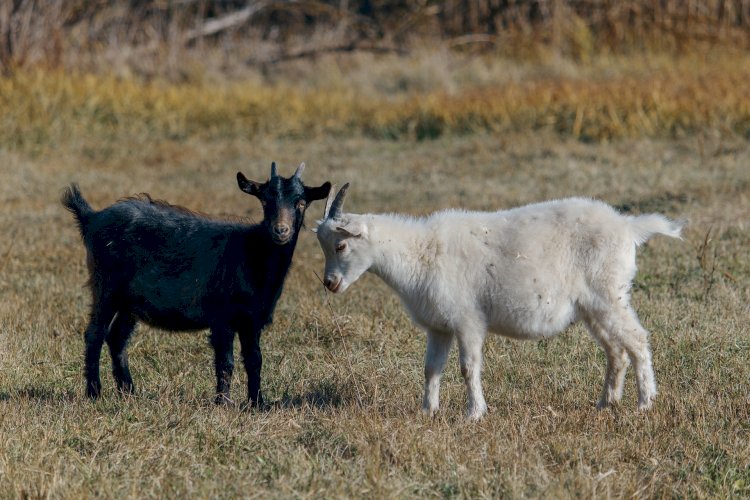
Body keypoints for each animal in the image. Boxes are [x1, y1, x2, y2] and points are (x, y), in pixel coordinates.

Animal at [63, 164, 334, 406]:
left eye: (301, 202)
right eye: (265, 201)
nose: (281, 230)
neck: (252, 251)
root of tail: (92, 218)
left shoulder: (252, 319)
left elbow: (254, 360)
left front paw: (257, 403)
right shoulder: (223, 316)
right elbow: (226, 362)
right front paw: (223, 403)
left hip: (130, 302)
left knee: (117, 337)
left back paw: (129, 391)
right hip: (106, 287)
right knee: (95, 334)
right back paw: (94, 393)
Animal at [314, 186, 684, 420]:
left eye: (341, 246)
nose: (329, 284)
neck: (420, 253)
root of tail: (629, 227)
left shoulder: (467, 320)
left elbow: (468, 367)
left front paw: (474, 414)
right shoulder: (439, 326)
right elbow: (431, 368)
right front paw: (428, 411)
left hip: (609, 295)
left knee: (637, 340)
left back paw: (645, 403)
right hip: (593, 307)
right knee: (615, 350)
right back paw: (606, 403)